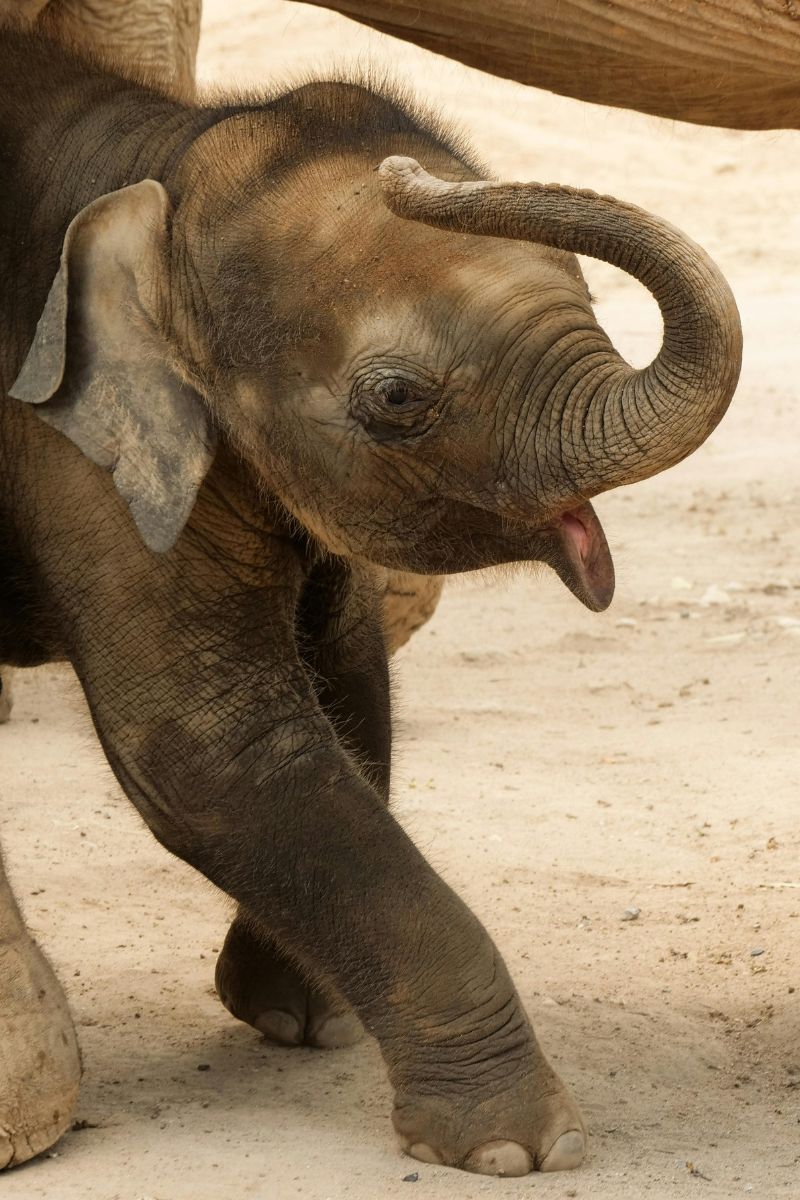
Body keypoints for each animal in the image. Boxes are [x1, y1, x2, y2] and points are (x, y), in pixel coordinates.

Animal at [0, 21, 742, 1176]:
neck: (163, 158)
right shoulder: (70, 442)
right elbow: (210, 743)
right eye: (396, 397)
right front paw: (519, 1151)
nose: (408, 176)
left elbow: (345, 668)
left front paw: (303, 1021)